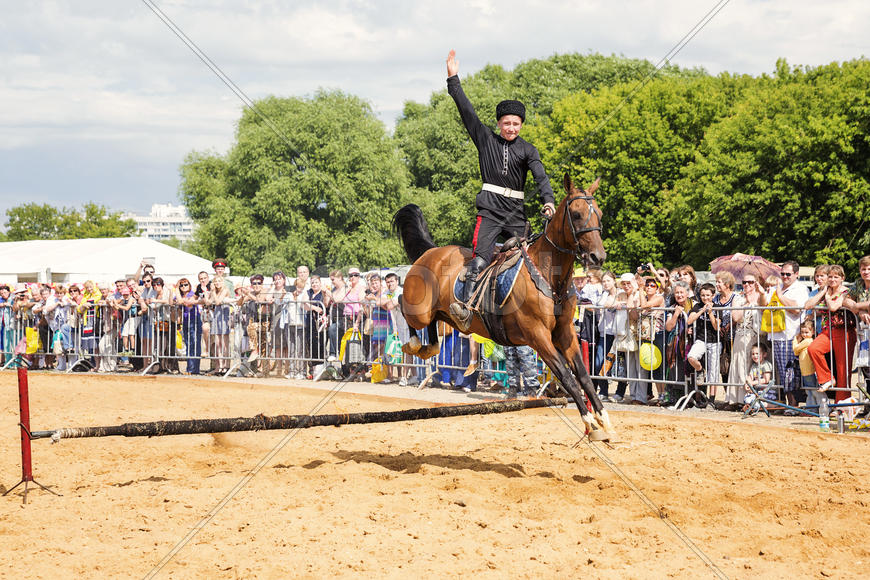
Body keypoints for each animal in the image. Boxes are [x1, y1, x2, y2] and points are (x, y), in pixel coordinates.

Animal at [392, 176, 616, 440]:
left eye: (599, 214)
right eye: (577, 214)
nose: (597, 257)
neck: (549, 276)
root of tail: (430, 252)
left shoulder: (565, 333)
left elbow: (583, 376)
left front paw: (603, 419)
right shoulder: (538, 335)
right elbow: (567, 377)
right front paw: (590, 423)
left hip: (441, 314)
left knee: (433, 326)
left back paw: (430, 347)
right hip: (419, 310)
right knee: (401, 305)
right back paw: (415, 343)